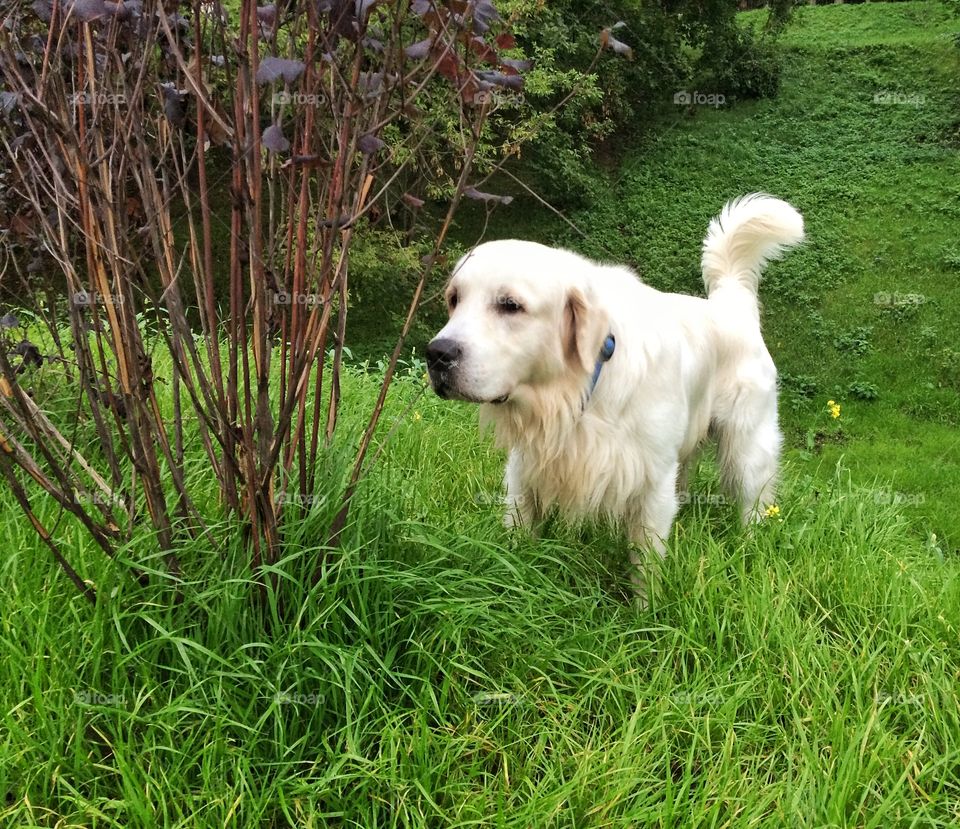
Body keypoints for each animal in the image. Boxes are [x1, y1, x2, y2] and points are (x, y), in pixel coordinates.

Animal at [428, 194, 804, 596]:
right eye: (454, 299)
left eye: (510, 305)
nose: (437, 353)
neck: (579, 394)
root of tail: (731, 307)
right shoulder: (525, 468)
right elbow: (519, 533)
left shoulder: (651, 480)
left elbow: (646, 564)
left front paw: (646, 608)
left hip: (746, 449)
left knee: (753, 504)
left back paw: (750, 550)